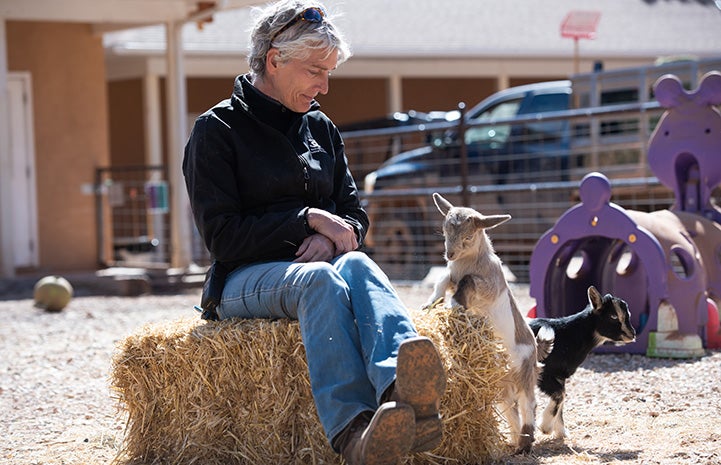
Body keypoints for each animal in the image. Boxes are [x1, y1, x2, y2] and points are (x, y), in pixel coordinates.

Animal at [524, 286, 636, 438]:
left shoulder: (559, 375)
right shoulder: (545, 373)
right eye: (613, 316)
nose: (632, 334)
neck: (568, 335)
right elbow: (560, 395)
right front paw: (545, 427)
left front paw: (561, 432)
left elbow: (562, 399)